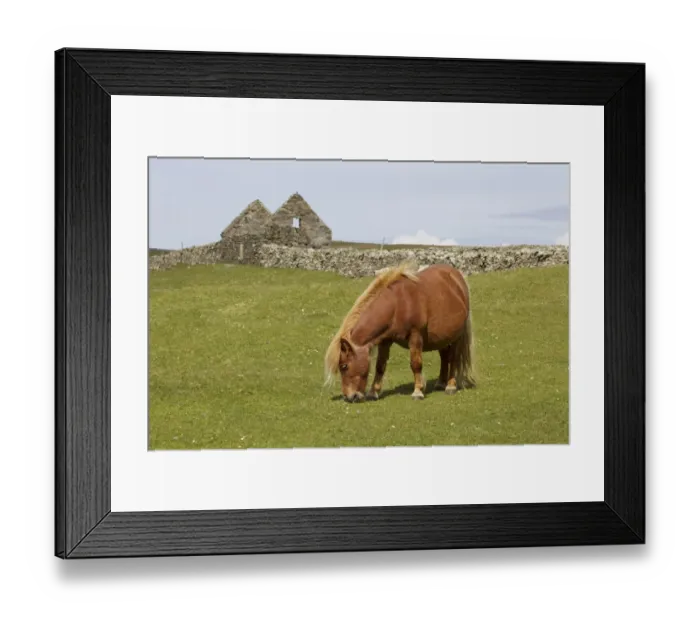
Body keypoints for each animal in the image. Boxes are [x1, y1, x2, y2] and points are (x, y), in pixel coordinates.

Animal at [324, 262, 476, 402]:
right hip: (442, 337)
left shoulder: (415, 337)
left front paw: (418, 391)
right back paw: (440, 383)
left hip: (456, 337)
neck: (397, 305)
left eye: (344, 366)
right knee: (444, 357)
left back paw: (450, 385)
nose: (349, 397)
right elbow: (380, 366)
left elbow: (416, 364)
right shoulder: (385, 341)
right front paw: (373, 392)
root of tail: (457, 277)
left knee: (453, 359)